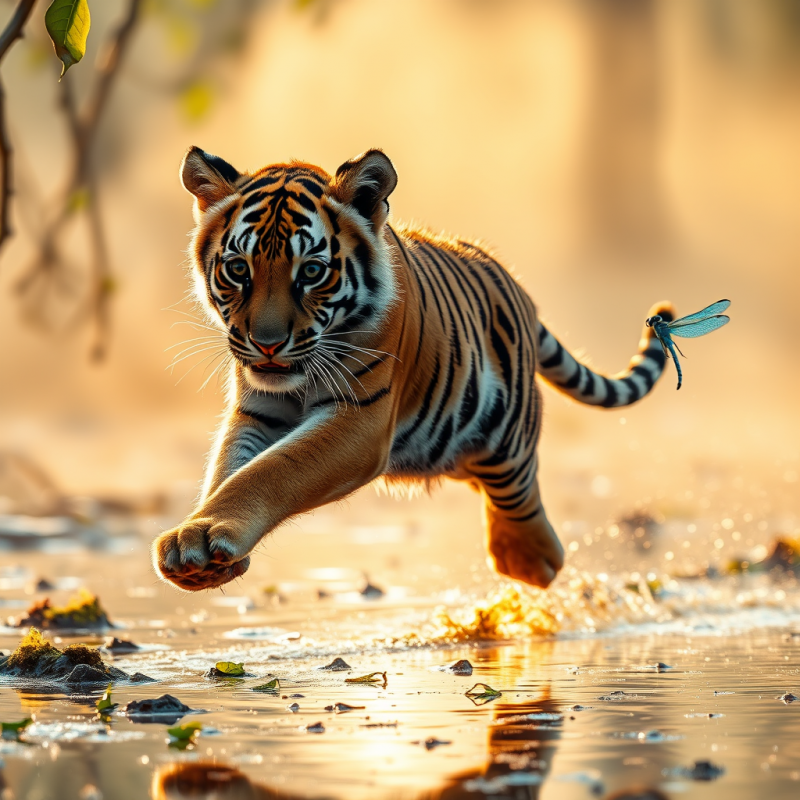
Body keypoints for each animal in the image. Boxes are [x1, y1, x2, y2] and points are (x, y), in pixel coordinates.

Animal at [152, 147, 674, 592]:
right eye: (239, 269)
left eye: (312, 272)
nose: (267, 344)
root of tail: (516, 286)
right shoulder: (257, 410)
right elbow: (229, 469)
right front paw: (199, 541)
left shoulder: (361, 418)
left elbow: (273, 469)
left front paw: (205, 538)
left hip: (504, 430)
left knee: (517, 489)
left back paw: (529, 559)